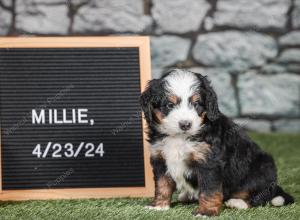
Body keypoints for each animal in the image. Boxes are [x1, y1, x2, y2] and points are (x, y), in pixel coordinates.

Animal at [139, 69, 294, 217]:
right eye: (169, 105)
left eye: (196, 104)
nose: (185, 124)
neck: (180, 137)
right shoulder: (160, 158)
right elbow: (162, 185)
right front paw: (159, 206)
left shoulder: (209, 163)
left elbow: (209, 190)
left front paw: (205, 212)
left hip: (263, 168)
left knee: (259, 195)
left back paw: (238, 202)